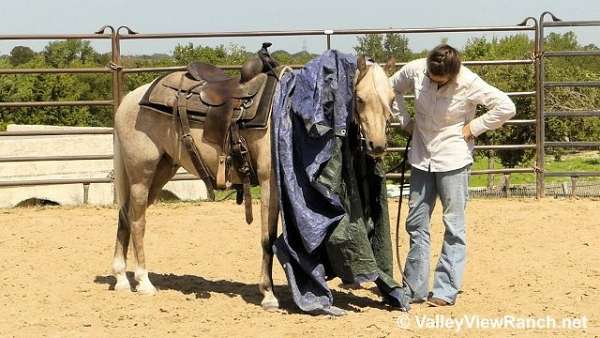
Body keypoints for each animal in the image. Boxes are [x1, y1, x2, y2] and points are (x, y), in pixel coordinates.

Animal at [110, 50, 396, 312]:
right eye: (360, 99)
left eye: (392, 99)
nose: (378, 145)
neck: (288, 112)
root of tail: (130, 100)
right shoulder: (270, 183)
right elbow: (266, 238)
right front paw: (269, 295)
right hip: (142, 174)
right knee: (137, 221)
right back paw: (143, 282)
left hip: (162, 170)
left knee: (125, 216)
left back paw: (122, 279)